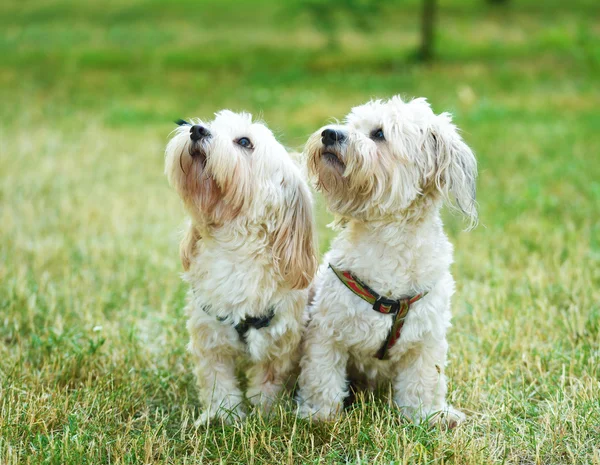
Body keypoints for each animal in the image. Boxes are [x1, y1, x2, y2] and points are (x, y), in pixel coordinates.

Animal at [162, 110, 316, 422]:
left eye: (244, 142)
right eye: (210, 124)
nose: (196, 130)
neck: (233, 249)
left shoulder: (277, 341)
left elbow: (267, 382)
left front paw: (264, 414)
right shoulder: (209, 335)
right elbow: (217, 380)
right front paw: (224, 417)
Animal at [296, 95, 478, 428]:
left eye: (378, 134)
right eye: (350, 124)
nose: (329, 133)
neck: (388, 238)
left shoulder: (426, 339)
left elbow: (423, 381)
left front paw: (429, 415)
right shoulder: (326, 331)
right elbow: (321, 376)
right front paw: (319, 416)